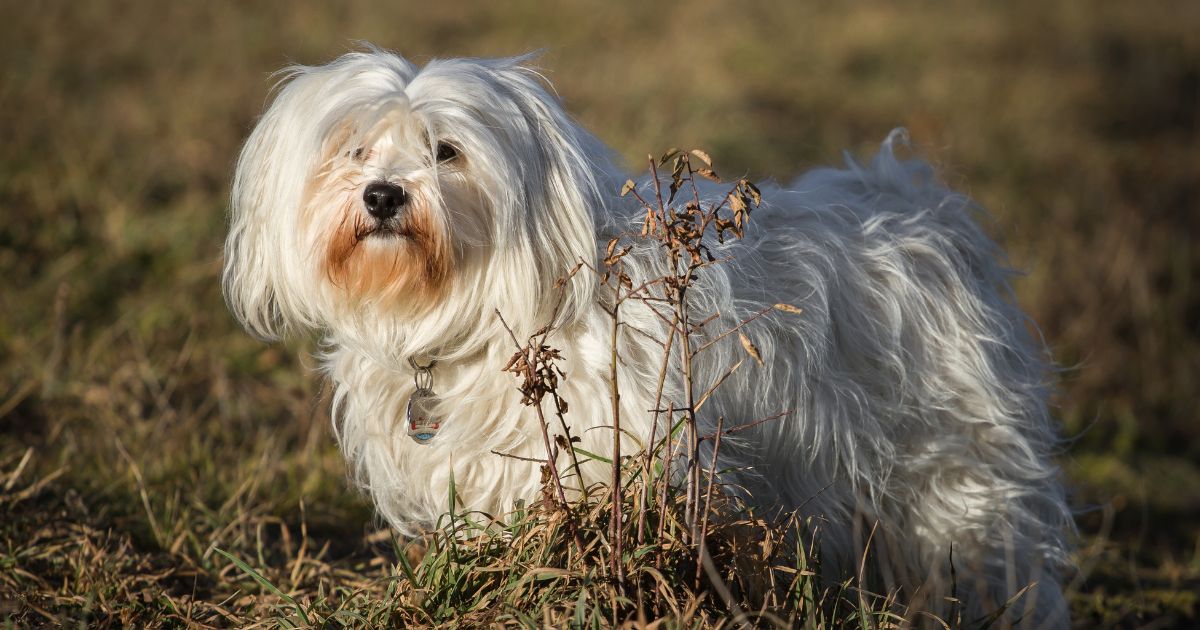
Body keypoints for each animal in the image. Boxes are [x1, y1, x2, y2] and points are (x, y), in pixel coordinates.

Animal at [223, 49, 1070, 624]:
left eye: (447, 151)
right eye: (354, 149)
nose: (382, 195)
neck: (478, 310)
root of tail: (919, 209)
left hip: (954, 479)